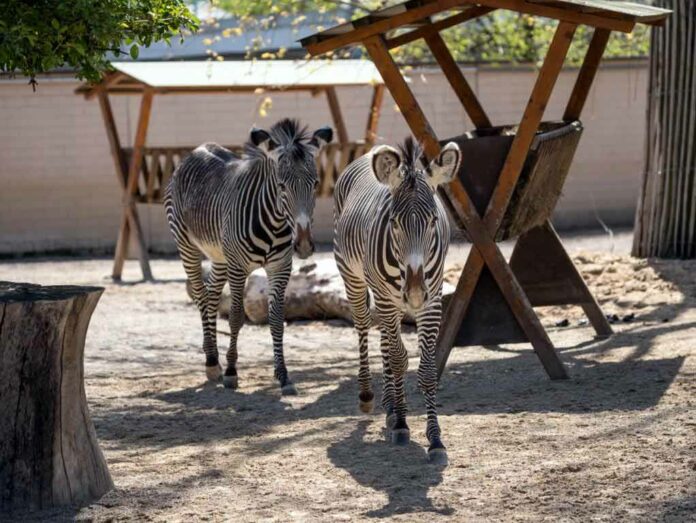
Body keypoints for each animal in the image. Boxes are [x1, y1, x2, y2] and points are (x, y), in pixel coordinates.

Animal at [166, 118, 334, 396]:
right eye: (281, 186)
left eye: (316, 184)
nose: (303, 245)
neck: (275, 222)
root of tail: (199, 149)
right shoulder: (238, 267)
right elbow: (236, 317)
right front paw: (232, 373)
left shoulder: (280, 267)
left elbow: (276, 320)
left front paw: (283, 376)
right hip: (186, 245)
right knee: (200, 295)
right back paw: (211, 362)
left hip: (219, 256)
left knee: (211, 296)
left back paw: (214, 358)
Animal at [334, 137, 460, 464]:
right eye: (394, 222)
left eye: (433, 221)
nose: (414, 291)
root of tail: (368, 152)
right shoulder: (390, 300)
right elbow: (400, 358)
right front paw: (403, 423)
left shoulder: (432, 301)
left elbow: (426, 370)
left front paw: (435, 440)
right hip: (355, 280)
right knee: (364, 327)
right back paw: (369, 396)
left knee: (384, 341)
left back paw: (390, 407)